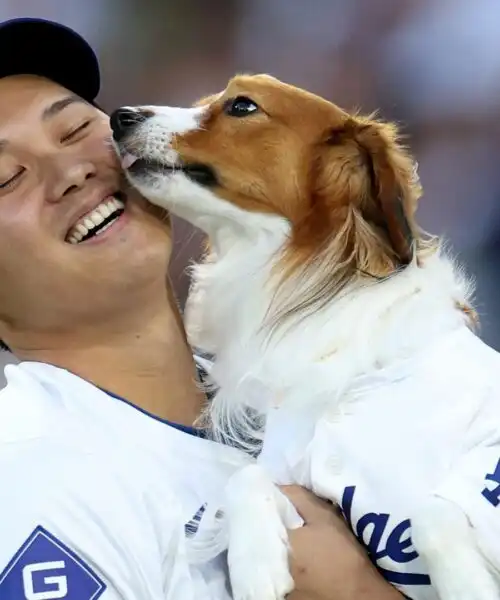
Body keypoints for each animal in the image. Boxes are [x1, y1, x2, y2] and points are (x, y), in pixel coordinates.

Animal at [111, 75, 500, 600]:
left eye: (242, 105)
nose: (120, 116)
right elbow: (245, 479)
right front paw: (256, 567)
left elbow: (430, 511)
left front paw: (465, 582)